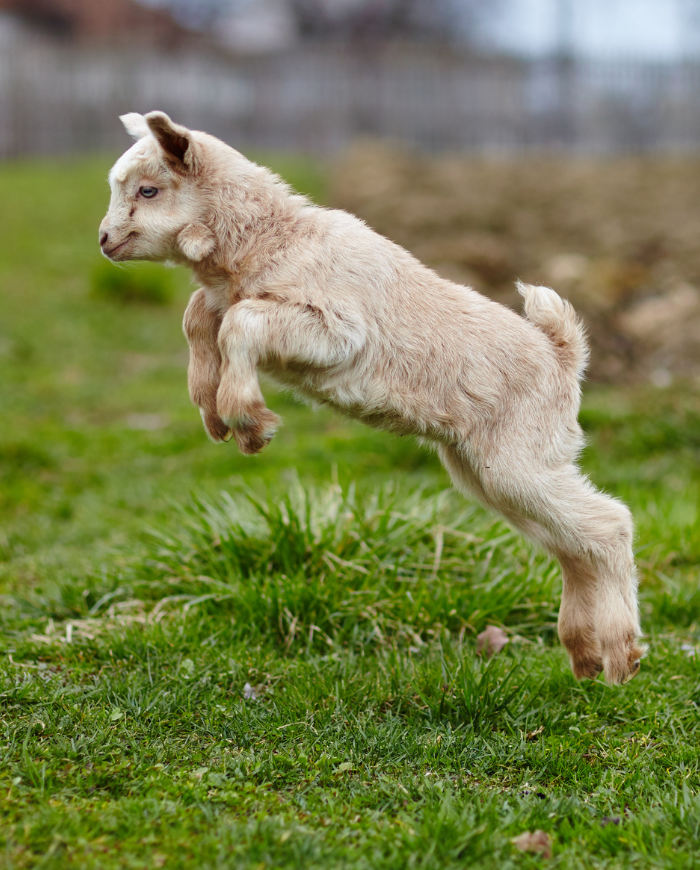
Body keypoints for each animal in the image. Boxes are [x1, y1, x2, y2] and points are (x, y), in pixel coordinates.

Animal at [100, 110, 644, 688]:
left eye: (149, 190)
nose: (104, 240)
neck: (270, 240)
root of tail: (563, 355)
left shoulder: (338, 330)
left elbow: (240, 322)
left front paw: (249, 421)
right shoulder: (228, 300)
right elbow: (200, 315)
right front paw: (211, 407)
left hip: (521, 456)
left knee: (609, 525)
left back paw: (621, 656)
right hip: (488, 470)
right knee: (572, 544)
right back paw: (585, 655)